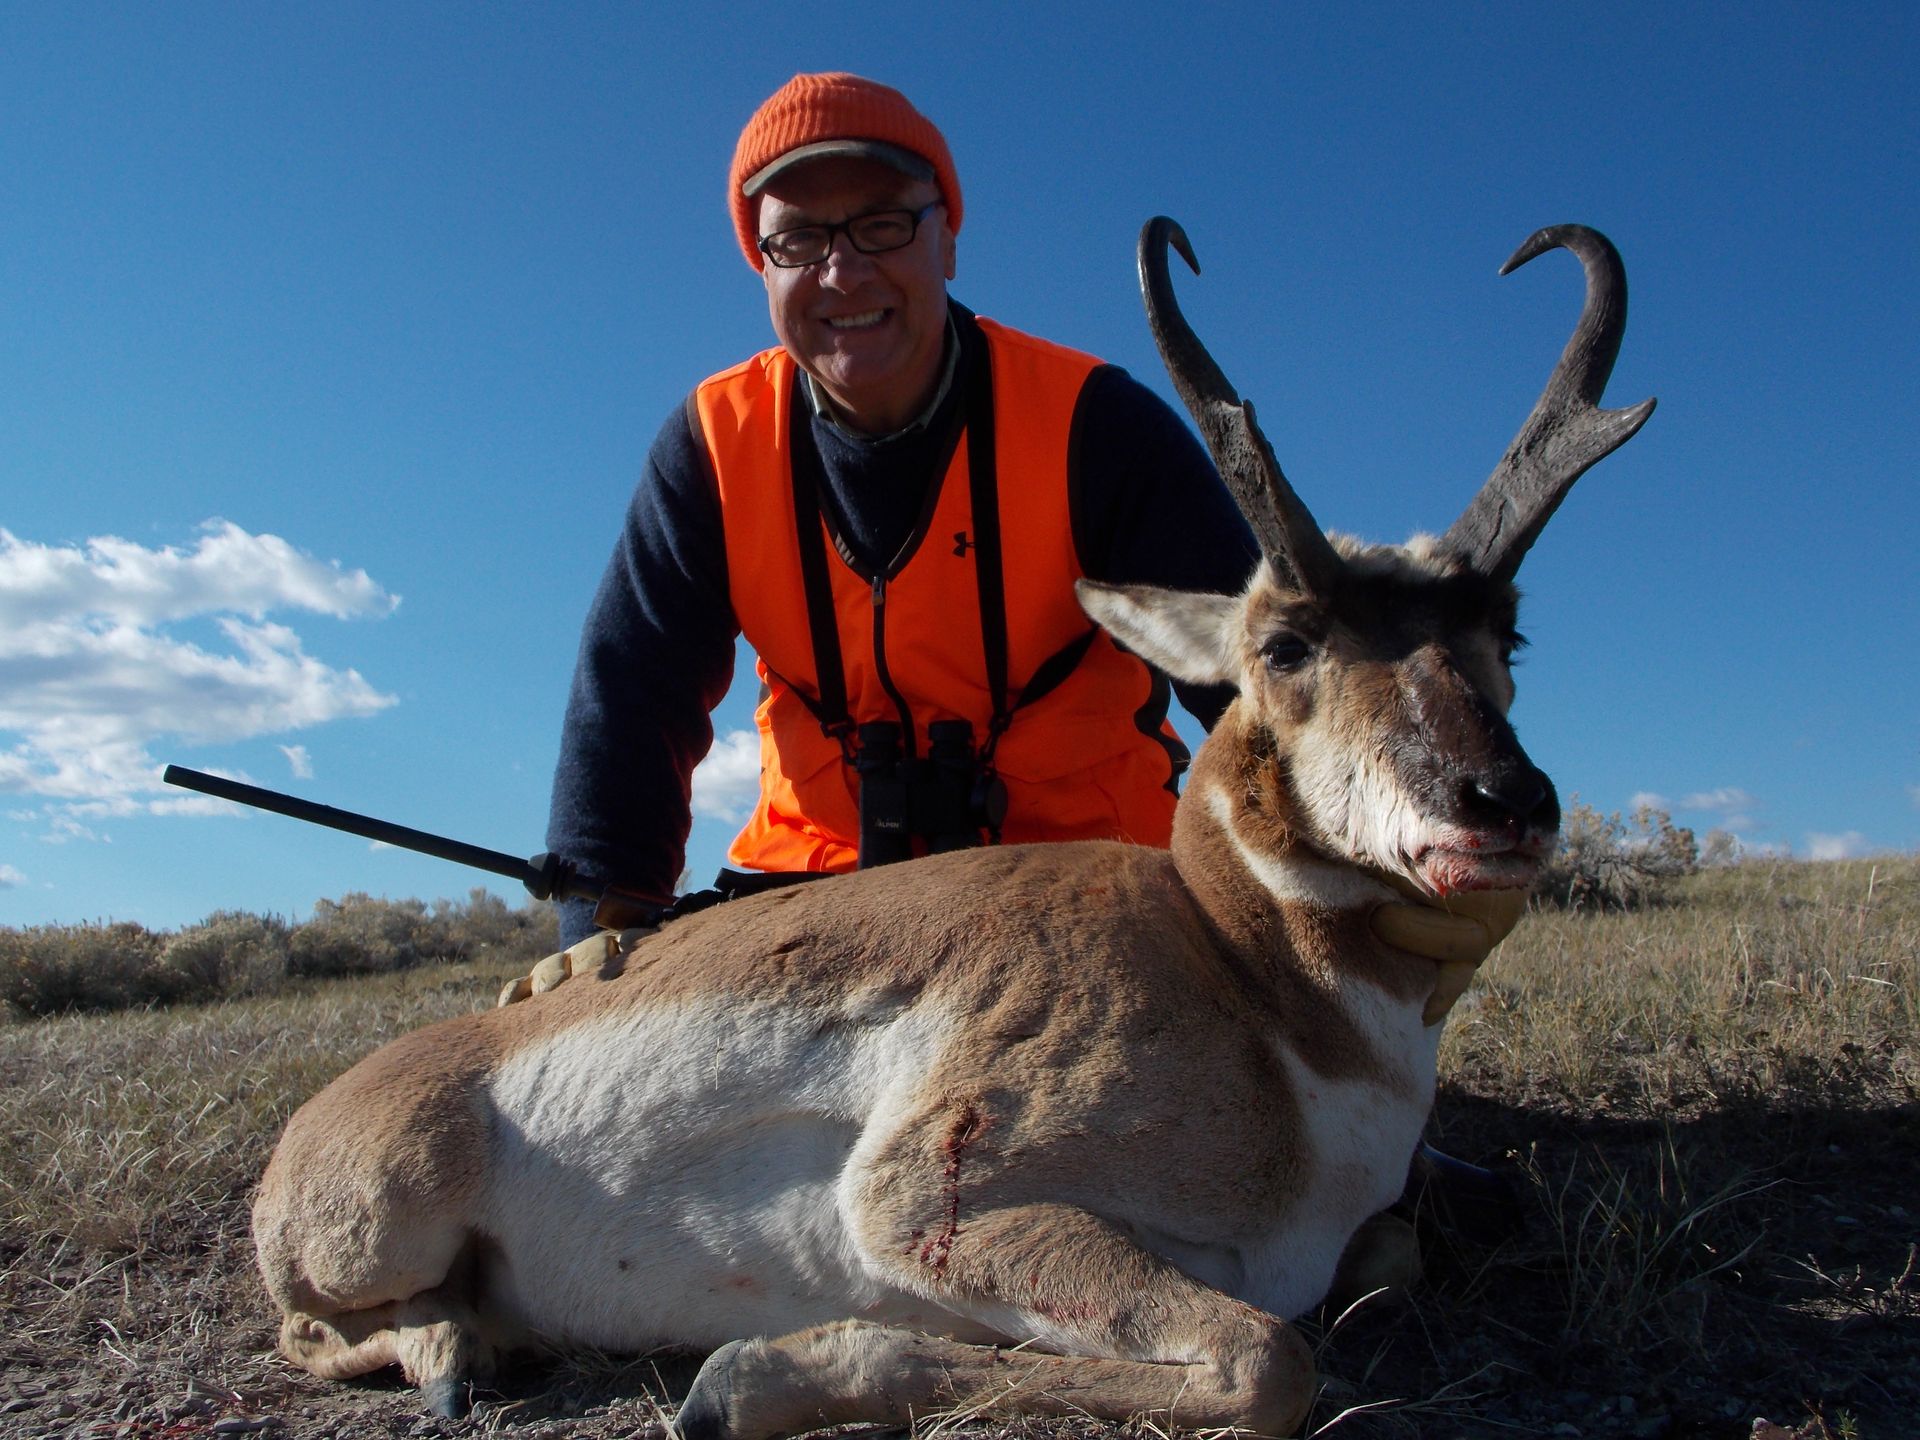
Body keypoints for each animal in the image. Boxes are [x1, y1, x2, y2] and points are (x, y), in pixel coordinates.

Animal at [253, 219, 1653, 1437]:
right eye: (1286, 643)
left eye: (1507, 634)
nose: (1507, 805)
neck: (1238, 966)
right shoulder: (929, 1203)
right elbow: (1269, 1360)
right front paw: (748, 1380)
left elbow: (1384, 1258)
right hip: (382, 1223)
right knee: (313, 1328)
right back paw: (457, 1349)